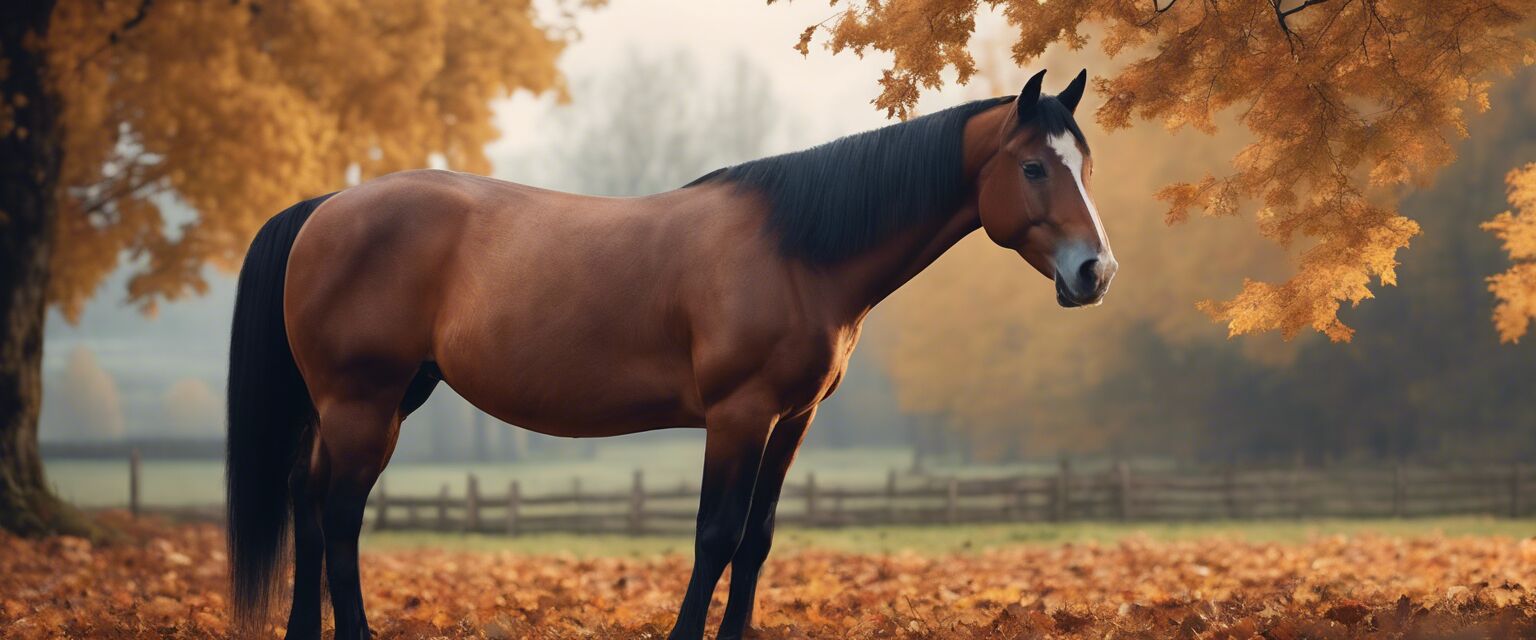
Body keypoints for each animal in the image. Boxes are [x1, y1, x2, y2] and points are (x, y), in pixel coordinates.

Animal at [224, 69, 1118, 638]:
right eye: (1033, 167)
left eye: (1086, 165)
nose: (1095, 271)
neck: (797, 249)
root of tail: (327, 207)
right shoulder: (738, 416)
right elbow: (714, 536)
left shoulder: (790, 421)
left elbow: (756, 541)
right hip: (364, 404)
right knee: (339, 517)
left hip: (363, 403)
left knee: (308, 505)